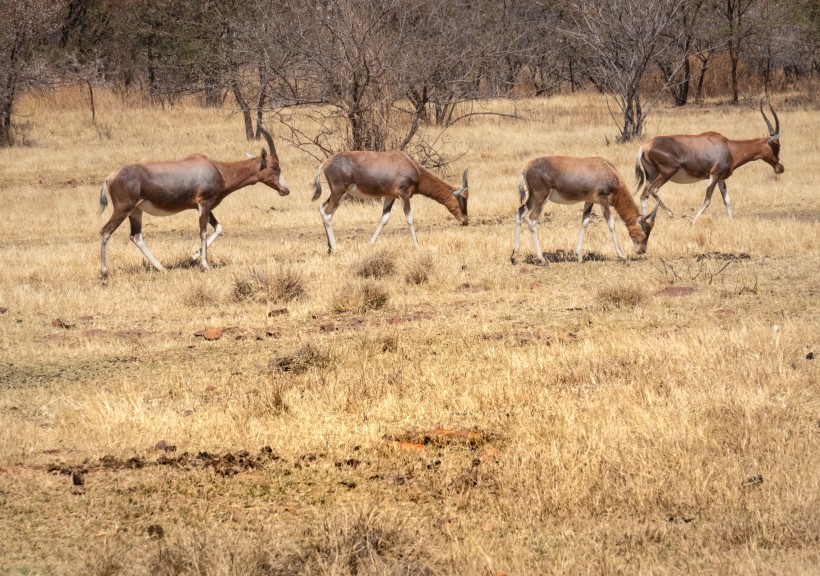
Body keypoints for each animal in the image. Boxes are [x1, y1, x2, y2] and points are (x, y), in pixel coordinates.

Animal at [98, 126, 290, 280]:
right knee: (105, 231)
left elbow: (218, 228)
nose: (286, 190)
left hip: (136, 211)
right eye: (275, 167)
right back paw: (104, 272)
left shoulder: (204, 206)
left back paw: (162, 268)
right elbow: (203, 232)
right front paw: (205, 265)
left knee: (136, 236)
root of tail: (110, 177)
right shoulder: (204, 203)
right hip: (123, 209)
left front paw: (193, 256)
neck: (216, 168)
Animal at [312, 152, 468, 253]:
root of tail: (325, 163)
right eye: (463, 198)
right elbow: (410, 219)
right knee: (328, 214)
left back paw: (329, 248)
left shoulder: (390, 196)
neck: (410, 164)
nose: (465, 221)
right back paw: (335, 248)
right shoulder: (404, 195)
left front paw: (370, 243)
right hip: (339, 192)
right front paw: (417, 246)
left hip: (338, 194)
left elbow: (384, 219)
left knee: (322, 208)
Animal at [510, 156, 656, 266]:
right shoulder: (603, 200)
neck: (605, 168)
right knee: (532, 219)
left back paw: (514, 257)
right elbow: (611, 224)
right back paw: (542, 260)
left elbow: (585, 222)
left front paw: (579, 257)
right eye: (646, 230)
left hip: (532, 198)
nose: (642, 251)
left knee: (519, 213)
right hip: (541, 198)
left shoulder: (589, 201)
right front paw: (623, 256)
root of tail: (526, 167)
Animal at [636, 100, 780, 222]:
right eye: (777, 146)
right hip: (667, 173)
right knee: (652, 190)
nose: (780, 168)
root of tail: (645, 146)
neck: (728, 147)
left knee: (644, 195)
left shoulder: (721, 178)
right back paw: (670, 213)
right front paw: (693, 222)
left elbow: (727, 200)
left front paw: (731, 222)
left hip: (652, 175)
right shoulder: (714, 175)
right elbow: (707, 200)